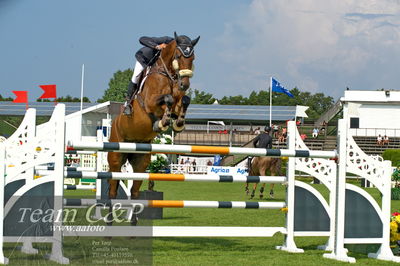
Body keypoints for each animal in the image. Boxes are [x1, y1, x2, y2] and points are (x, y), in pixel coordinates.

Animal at [107, 32, 199, 224]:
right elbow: (168, 100)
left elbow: (183, 101)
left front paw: (178, 123)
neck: (168, 74)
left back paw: (134, 223)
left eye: (193, 58)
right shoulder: (150, 102)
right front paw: (162, 122)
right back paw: (110, 222)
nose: (184, 85)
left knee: (134, 191)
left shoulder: (179, 100)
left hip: (140, 161)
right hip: (115, 158)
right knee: (112, 189)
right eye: (178, 56)